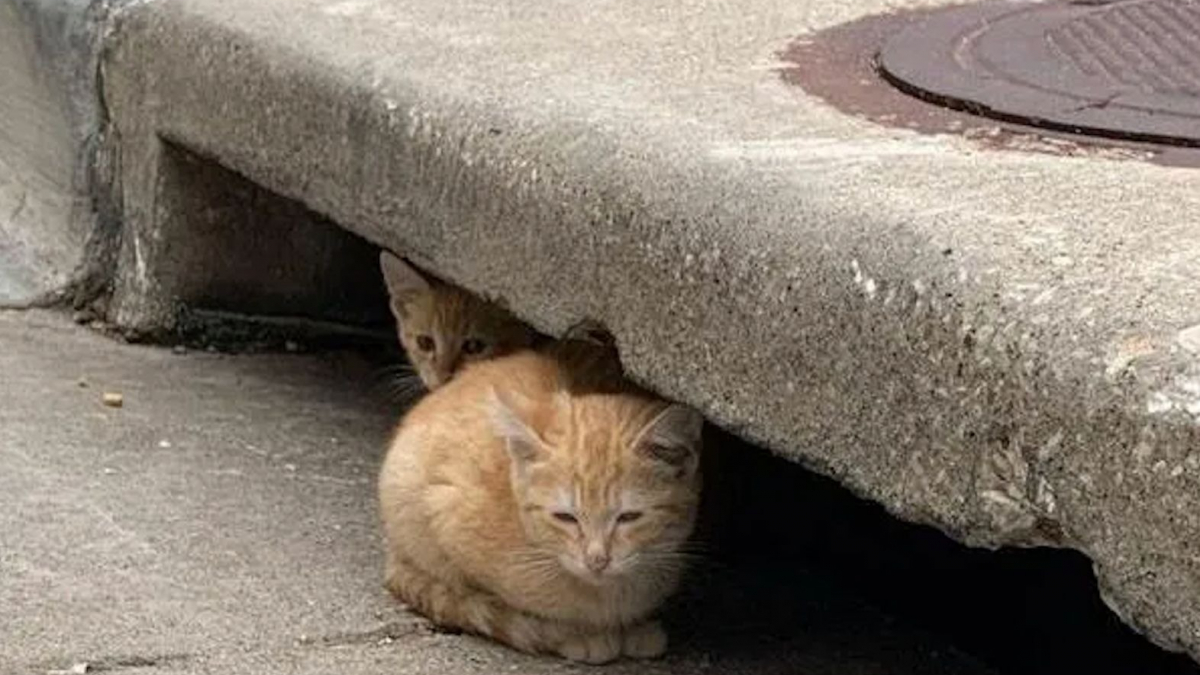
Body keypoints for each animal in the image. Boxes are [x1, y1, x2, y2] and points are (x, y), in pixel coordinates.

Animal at [376, 338, 700, 658]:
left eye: (629, 517)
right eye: (566, 517)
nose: (597, 560)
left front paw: (635, 628)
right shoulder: (446, 511)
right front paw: (577, 635)